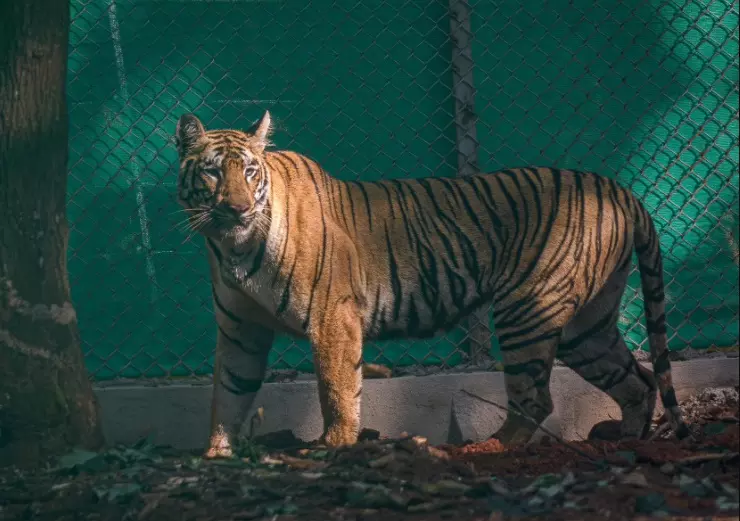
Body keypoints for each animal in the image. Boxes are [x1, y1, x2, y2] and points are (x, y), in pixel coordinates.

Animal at [175, 109, 692, 456]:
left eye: (249, 171)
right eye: (213, 171)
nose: (238, 209)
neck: (233, 247)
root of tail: (621, 190)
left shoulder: (332, 318)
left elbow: (337, 390)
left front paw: (333, 447)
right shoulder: (240, 331)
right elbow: (229, 392)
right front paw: (216, 456)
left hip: (528, 309)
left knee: (537, 396)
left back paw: (487, 449)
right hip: (587, 326)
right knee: (638, 380)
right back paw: (628, 442)